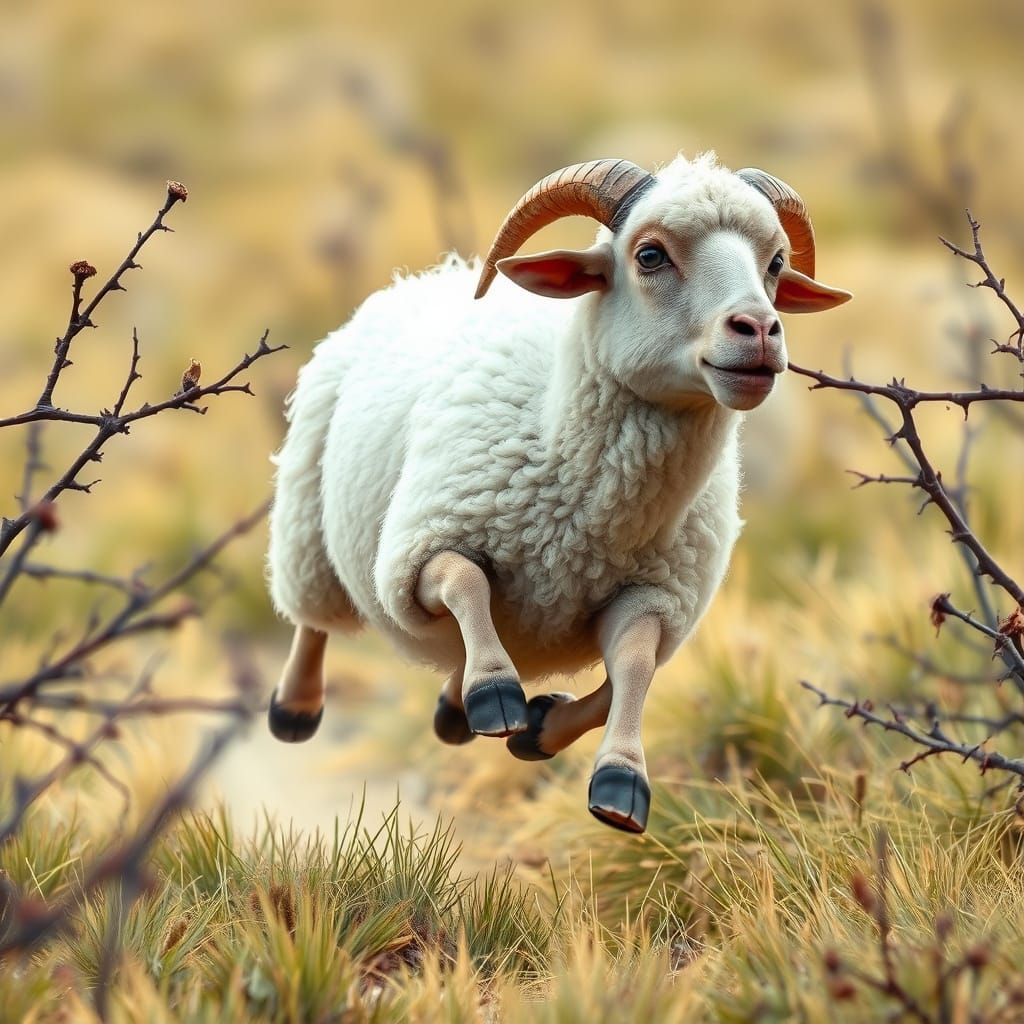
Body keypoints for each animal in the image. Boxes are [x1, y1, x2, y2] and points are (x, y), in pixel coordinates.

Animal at [266, 151, 851, 833]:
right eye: (649, 255)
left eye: (776, 262)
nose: (759, 330)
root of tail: (429, 275)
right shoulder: (423, 545)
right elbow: (466, 582)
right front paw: (495, 693)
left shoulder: (658, 597)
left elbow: (632, 671)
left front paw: (589, 759)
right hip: (306, 515)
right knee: (313, 619)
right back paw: (298, 706)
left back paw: (453, 708)